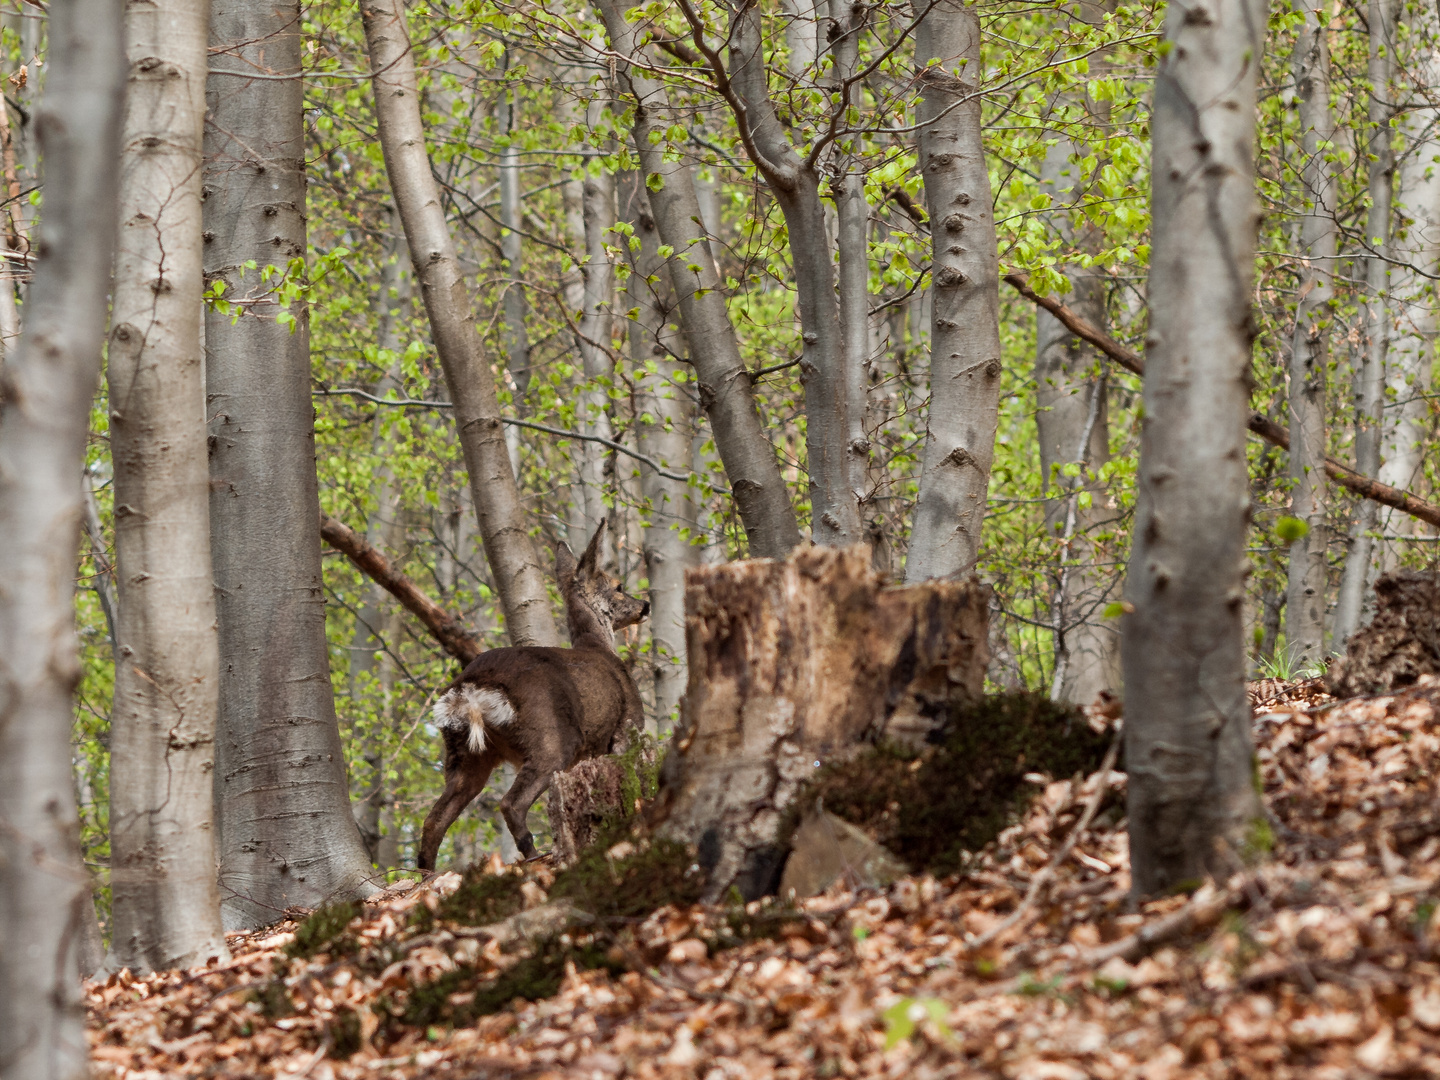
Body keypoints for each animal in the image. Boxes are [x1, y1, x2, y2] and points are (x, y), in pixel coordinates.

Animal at [420, 521, 650, 869]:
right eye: (618, 585)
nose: (644, 606)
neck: (599, 647)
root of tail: (470, 688)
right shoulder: (627, 727)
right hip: (551, 736)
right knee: (510, 803)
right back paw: (536, 855)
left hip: (464, 751)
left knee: (434, 819)